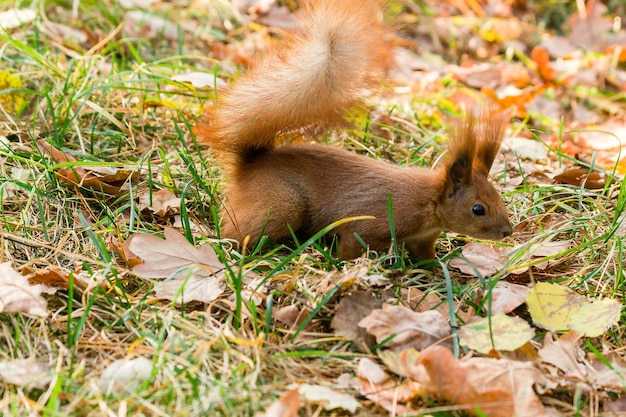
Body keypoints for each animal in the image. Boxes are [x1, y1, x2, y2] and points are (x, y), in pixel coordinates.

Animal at [193, 0, 510, 260]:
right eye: (478, 208)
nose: (508, 232)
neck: (429, 201)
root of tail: (249, 165)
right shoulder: (373, 222)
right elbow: (351, 246)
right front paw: (348, 267)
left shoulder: (422, 239)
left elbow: (424, 256)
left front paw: (435, 271)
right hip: (282, 204)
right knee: (240, 233)